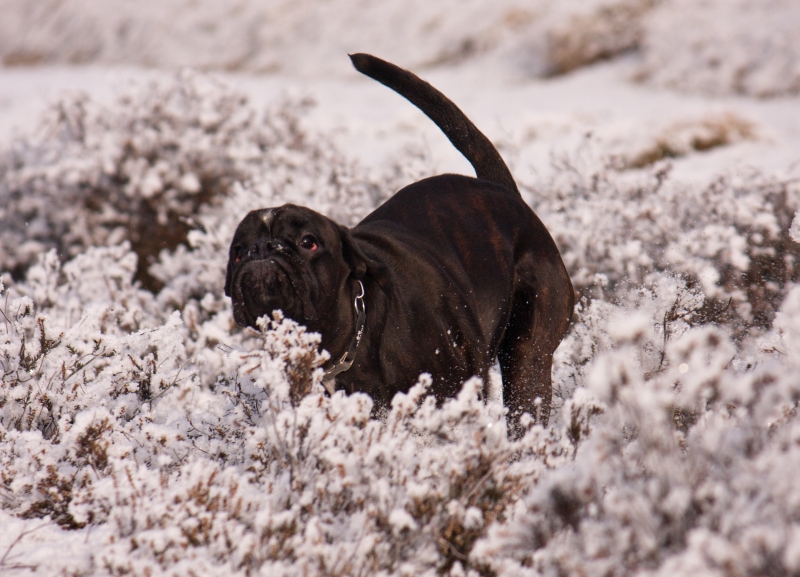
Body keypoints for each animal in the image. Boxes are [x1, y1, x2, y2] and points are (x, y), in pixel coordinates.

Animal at [225, 54, 576, 428]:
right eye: (238, 251)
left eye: (308, 242)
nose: (263, 249)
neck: (355, 336)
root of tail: (508, 195)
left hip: (527, 359)